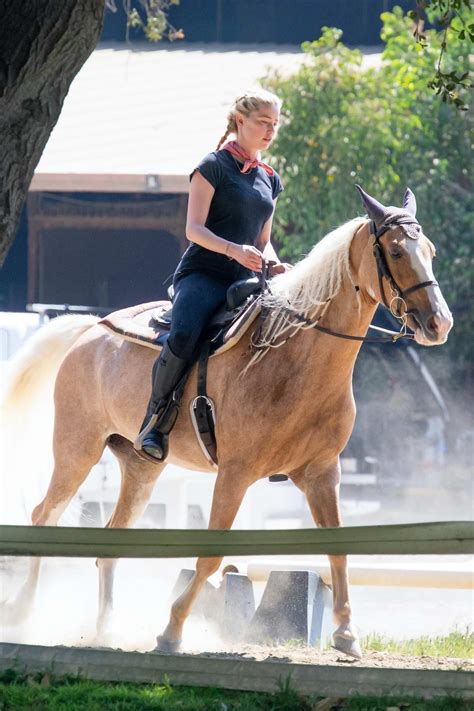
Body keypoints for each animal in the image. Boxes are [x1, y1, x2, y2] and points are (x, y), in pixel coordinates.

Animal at [0, 186, 452, 660]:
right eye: (397, 251)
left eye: (430, 251)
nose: (439, 323)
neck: (293, 358)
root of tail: (92, 328)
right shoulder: (235, 474)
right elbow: (211, 556)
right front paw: (172, 630)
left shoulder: (322, 473)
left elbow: (340, 549)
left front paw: (347, 633)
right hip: (77, 452)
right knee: (43, 516)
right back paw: (23, 613)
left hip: (140, 468)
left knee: (111, 538)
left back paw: (106, 629)